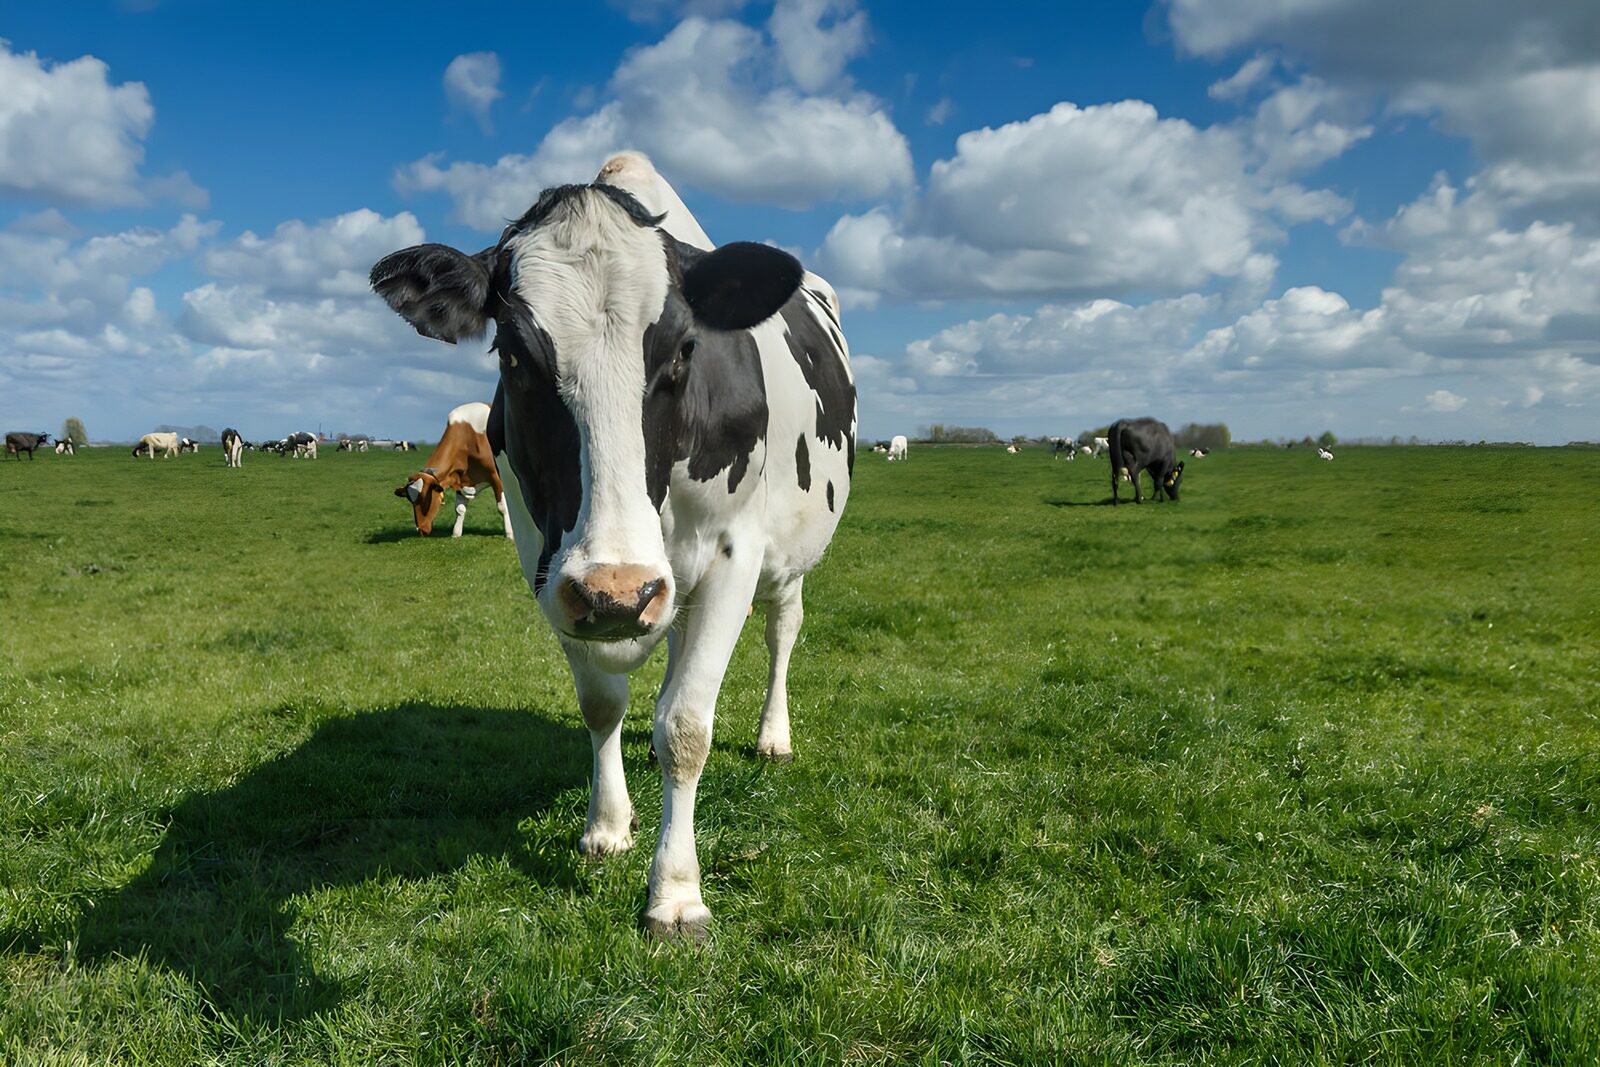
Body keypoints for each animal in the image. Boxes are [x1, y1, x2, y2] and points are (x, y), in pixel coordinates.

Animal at [395, 402, 514, 539]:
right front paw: (456, 533)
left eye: (426, 498)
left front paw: (510, 535)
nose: (421, 530)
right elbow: (459, 508)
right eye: (411, 500)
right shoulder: (461, 478)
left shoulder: (497, 477)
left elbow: (503, 507)